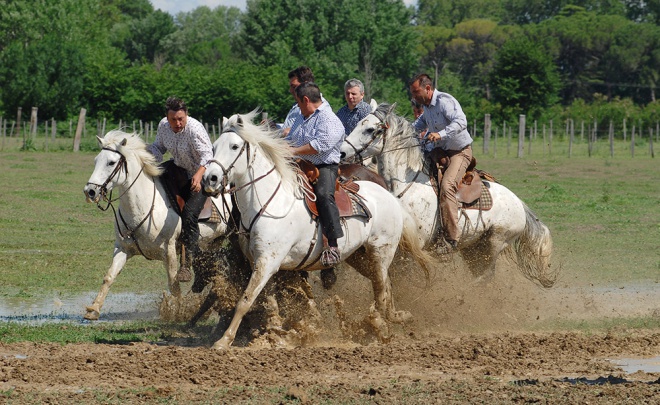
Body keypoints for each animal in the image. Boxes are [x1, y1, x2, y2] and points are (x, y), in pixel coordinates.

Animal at [84, 131, 231, 320]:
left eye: (111, 162)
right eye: (96, 160)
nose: (90, 191)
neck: (143, 206)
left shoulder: (169, 250)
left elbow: (174, 284)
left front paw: (179, 311)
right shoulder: (122, 248)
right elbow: (109, 276)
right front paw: (93, 309)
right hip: (213, 242)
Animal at [201, 111, 430, 350]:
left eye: (235, 146)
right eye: (214, 146)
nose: (210, 179)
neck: (270, 202)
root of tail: (390, 196)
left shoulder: (267, 262)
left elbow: (245, 300)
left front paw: (224, 340)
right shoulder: (261, 263)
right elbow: (268, 302)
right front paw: (278, 334)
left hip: (381, 251)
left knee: (380, 288)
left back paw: (379, 325)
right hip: (358, 256)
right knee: (385, 284)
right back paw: (398, 317)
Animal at [340, 103, 556, 288]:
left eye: (370, 129)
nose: (341, 153)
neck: (407, 184)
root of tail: (519, 203)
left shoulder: (414, 246)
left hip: (494, 243)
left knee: (486, 275)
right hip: (474, 249)